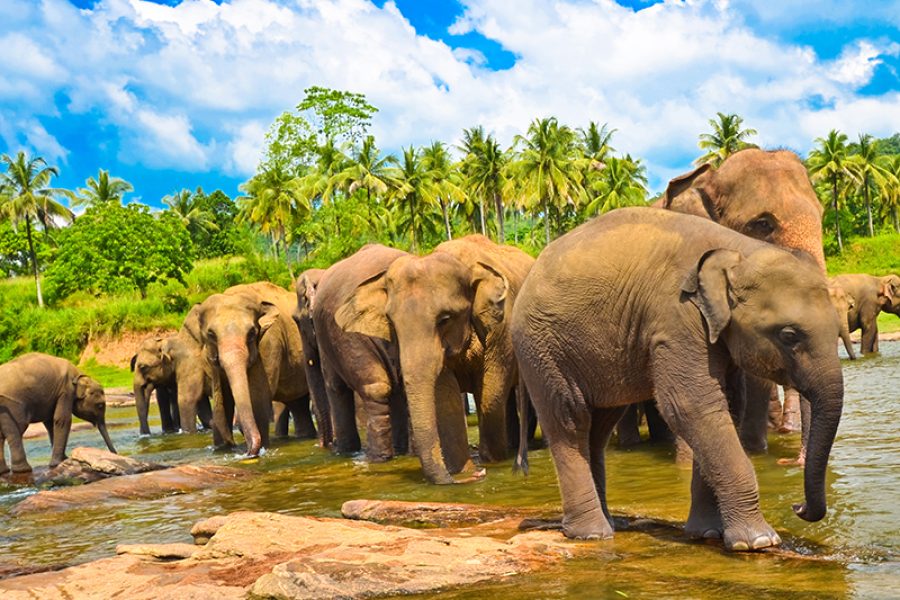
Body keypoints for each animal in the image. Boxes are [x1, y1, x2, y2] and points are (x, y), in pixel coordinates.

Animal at [198, 282, 317, 456]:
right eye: (211, 334)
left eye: (252, 333)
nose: (241, 450)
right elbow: (221, 401)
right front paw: (221, 450)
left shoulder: (270, 342)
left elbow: (259, 397)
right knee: (298, 403)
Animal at [336, 235, 534, 484]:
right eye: (391, 322)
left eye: (445, 319)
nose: (477, 474)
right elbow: (445, 398)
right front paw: (463, 471)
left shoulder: (501, 329)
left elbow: (491, 396)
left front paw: (493, 462)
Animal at [512, 208, 844, 552]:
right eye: (789, 335)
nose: (798, 507)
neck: (738, 250)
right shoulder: (676, 319)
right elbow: (691, 406)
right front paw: (758, 542)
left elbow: (726, 405)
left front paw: (707, 533)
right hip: (543, 349)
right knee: (570, 420)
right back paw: (591, 534)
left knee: (597, 428)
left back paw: (609, 524)